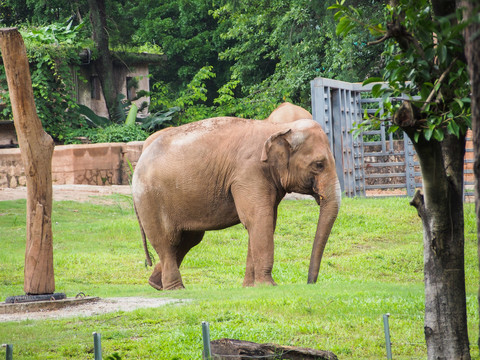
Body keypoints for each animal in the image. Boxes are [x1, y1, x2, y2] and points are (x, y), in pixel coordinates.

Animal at [131, 116, 342, 292]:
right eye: (319, 165)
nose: (310, 283)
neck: (277, 127)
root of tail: (141, 156)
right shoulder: (248, 173)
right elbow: (259, 219)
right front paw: (269, 286)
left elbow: (263, 223)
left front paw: (250, 287)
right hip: (151, 199)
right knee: (168, 241)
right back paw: (175, 289)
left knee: (188, 240)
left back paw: (156, 285)